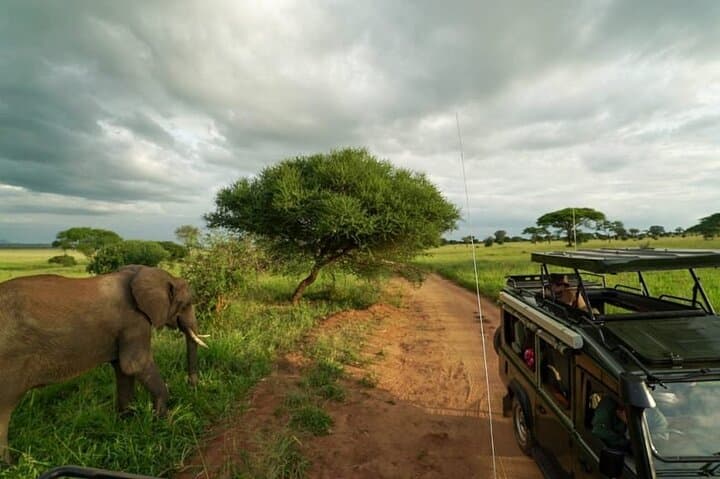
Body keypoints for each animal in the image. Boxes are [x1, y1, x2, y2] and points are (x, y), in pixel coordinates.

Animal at [0, 265, 208, 464]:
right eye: (186, 304)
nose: (192, 386)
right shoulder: (134, 322)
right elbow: (135, 365)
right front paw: (164, 422)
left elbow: (123, 370)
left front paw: (127, 423)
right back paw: (11, 465)